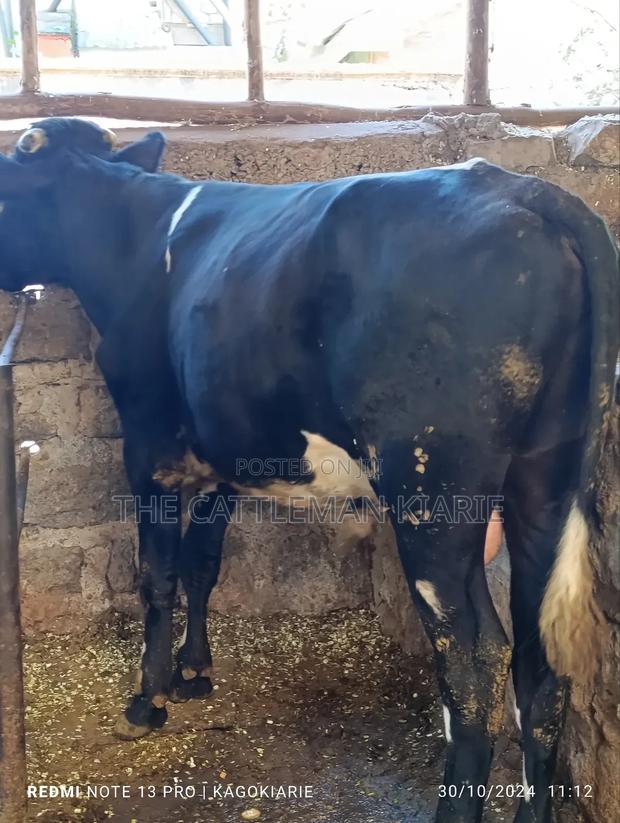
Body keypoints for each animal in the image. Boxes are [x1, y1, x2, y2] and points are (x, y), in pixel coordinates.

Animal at [0, 118, 617, 823]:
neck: (132, 236)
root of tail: (525, 189)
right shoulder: (222, 457)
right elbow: (202, 565)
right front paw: (195, 671)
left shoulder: (149, 447)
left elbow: (157, 576)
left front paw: (147, 700)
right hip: (546, 481)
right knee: (541, 667)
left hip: (432, 491)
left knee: (474, 664)